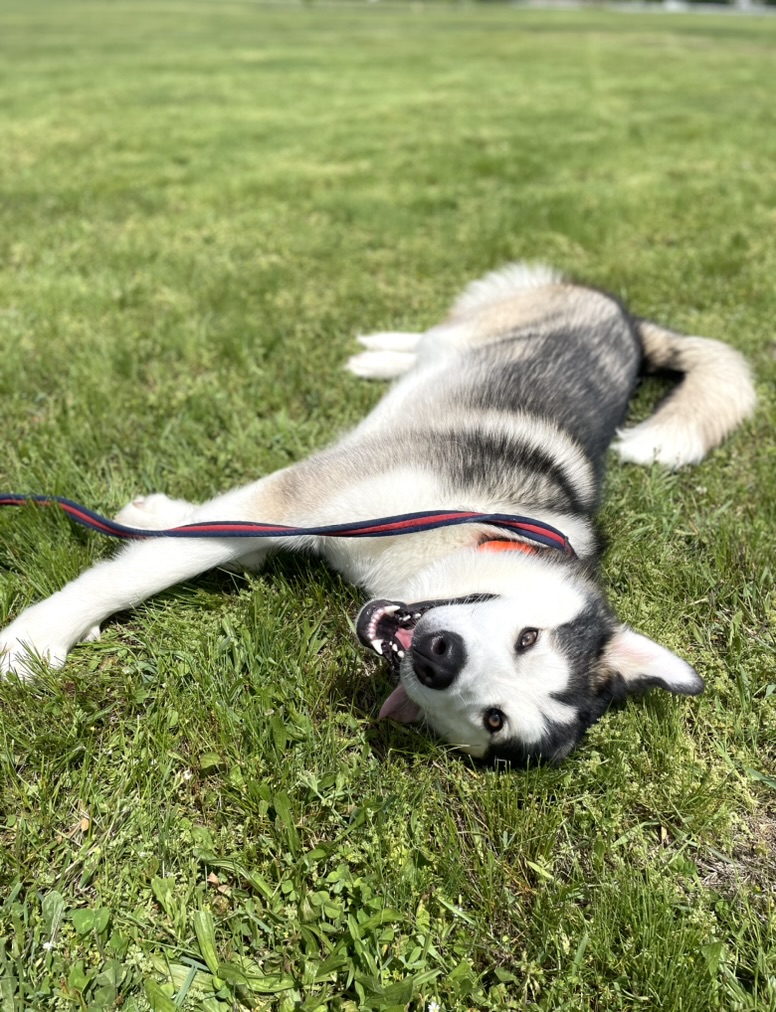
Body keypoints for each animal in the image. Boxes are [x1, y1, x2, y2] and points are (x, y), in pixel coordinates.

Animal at [0, 263, 756, 763]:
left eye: (493, 722)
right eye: (527, 638)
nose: (440, 659)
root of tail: (628, 322)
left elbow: (203, 542)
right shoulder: (306, 496)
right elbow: (141, 568)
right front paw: (34, 642)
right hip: (494, 311)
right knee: (436, 335)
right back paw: (380, 353)